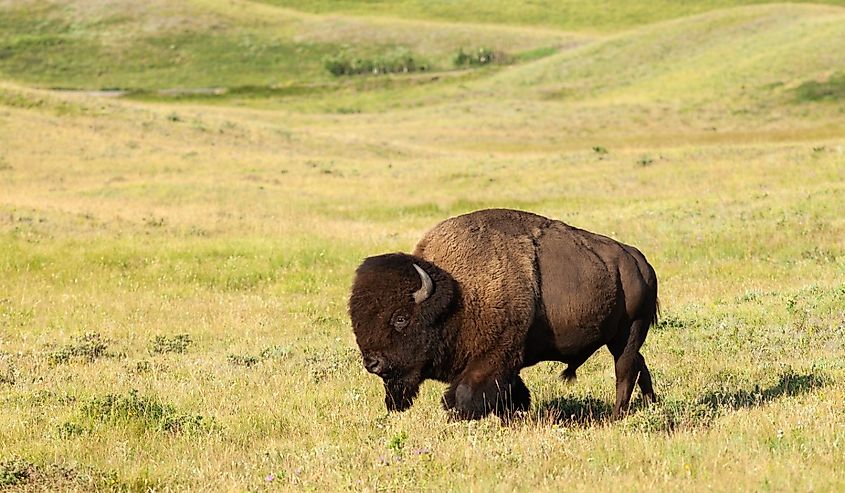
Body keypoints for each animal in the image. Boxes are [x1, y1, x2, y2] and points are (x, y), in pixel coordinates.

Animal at [349, 208, 659, 420]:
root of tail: (639, 261)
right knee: (640, 366)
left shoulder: (495, 356)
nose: (372, 363)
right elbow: (513, 392)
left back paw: (616, 417)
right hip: (621, 339)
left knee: (625, 373)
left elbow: (465, 394)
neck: (458, 294)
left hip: (629, 333)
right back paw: (651, 404)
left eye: (401, 318)